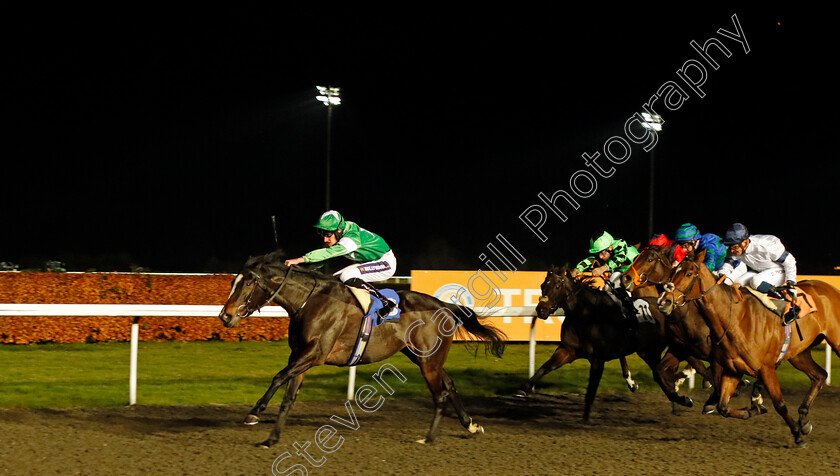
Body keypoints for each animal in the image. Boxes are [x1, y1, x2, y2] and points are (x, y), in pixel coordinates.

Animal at [218, 251, 506, 448]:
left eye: (247, 283)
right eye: (233, 282)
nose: (225, 316)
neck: (309, 301)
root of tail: (445, 306)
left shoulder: (315, 354)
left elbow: (279, 376)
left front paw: (254, 413)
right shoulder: (299, 355)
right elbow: (289, 396)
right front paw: (272, 438)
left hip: (428, 361)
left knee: (440, 394)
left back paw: (429, 438)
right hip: (423, 357)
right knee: (450, 385)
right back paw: (470, 424)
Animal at [516, 266, 692, 422]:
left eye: (557, 286)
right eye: (542, 285)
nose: (541, 310)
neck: (587, 314)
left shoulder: (598, 359)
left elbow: (591, 389)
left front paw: (585, 419)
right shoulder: (568, 350)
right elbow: (545, 367)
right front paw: (523, 389)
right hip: (648, 351)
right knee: (663, 374)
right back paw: (677, 399)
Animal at [656, 251, 840, 444]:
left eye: (689, 274)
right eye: (672, 272)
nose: (664, 301)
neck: (735, 319)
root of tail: (832, 289)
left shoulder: (766, 368)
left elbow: (780, 404)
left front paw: (796, 434)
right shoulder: (732, 369)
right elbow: (723, 406)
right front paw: (753, 409)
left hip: (835, 342)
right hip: (799, 354)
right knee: (820, 375)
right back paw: (803, 419)